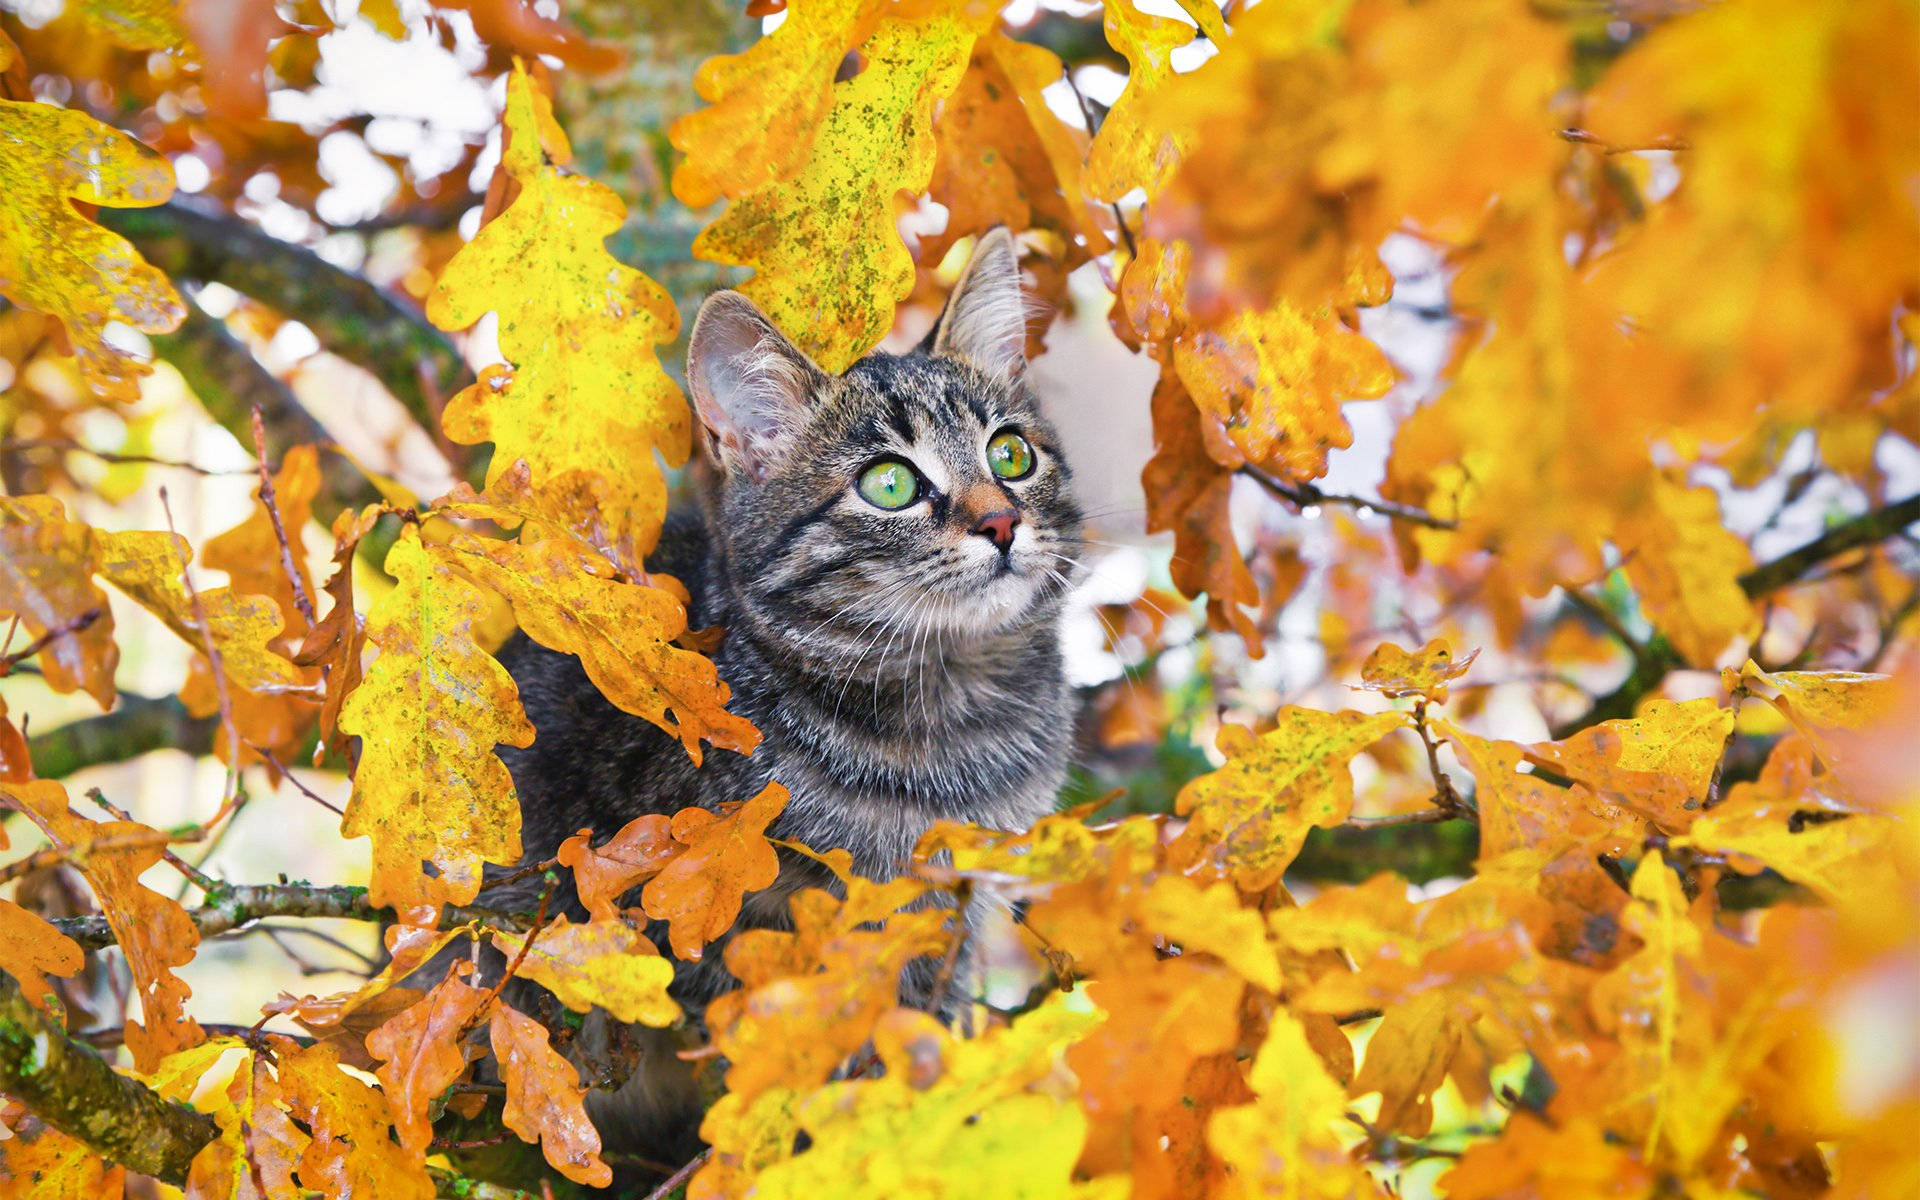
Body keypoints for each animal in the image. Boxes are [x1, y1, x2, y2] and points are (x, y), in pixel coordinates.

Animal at [487, 231, 1090, 1159]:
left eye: (1011, 455)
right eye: (890, 484)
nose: (1001, 521)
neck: (952, 706)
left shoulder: (945, 923)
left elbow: (922, 1031)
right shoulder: (714, 928)